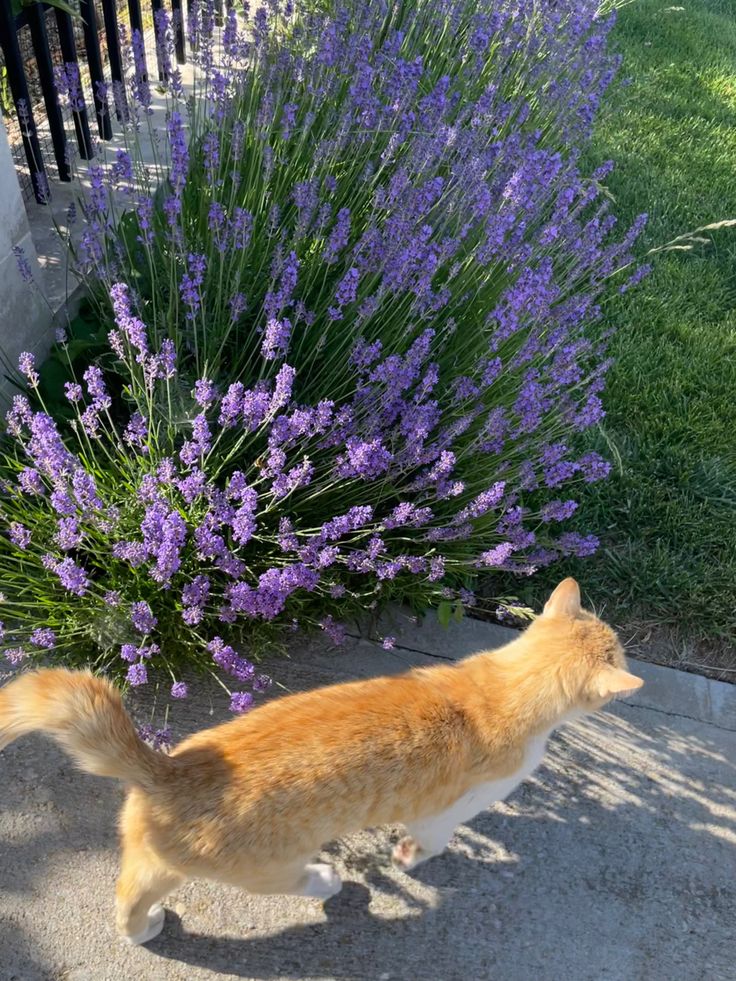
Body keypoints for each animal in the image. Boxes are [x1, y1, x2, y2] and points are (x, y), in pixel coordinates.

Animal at [0, 580, 640, 944]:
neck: (505, 684)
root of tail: (168, 770)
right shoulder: (442, 813)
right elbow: (433, 841)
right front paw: (409, 857)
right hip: (265, 867)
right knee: (284, 882)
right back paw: (326, 880)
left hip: (153, 859)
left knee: (127, 893)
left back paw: (141, 932)